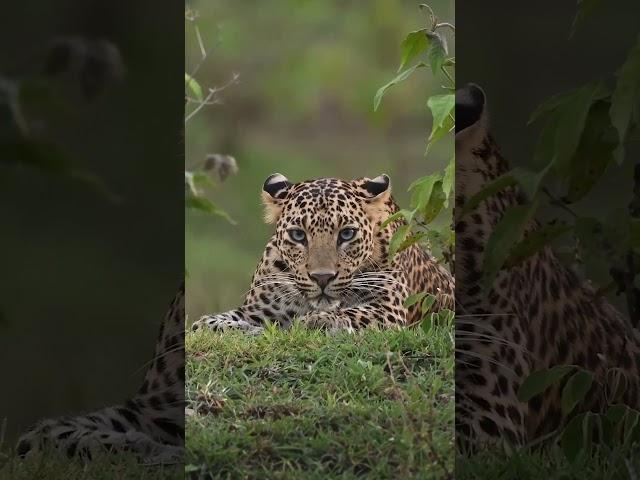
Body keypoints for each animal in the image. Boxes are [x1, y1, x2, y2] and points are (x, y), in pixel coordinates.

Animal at [191, 172, 456, 334]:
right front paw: (247, 330)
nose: (322, 278)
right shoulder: (257, 311)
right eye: (298, 235)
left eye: (347, 234)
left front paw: (315, 321)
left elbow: (353, 313)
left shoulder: (388, 309)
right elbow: (205, 323)